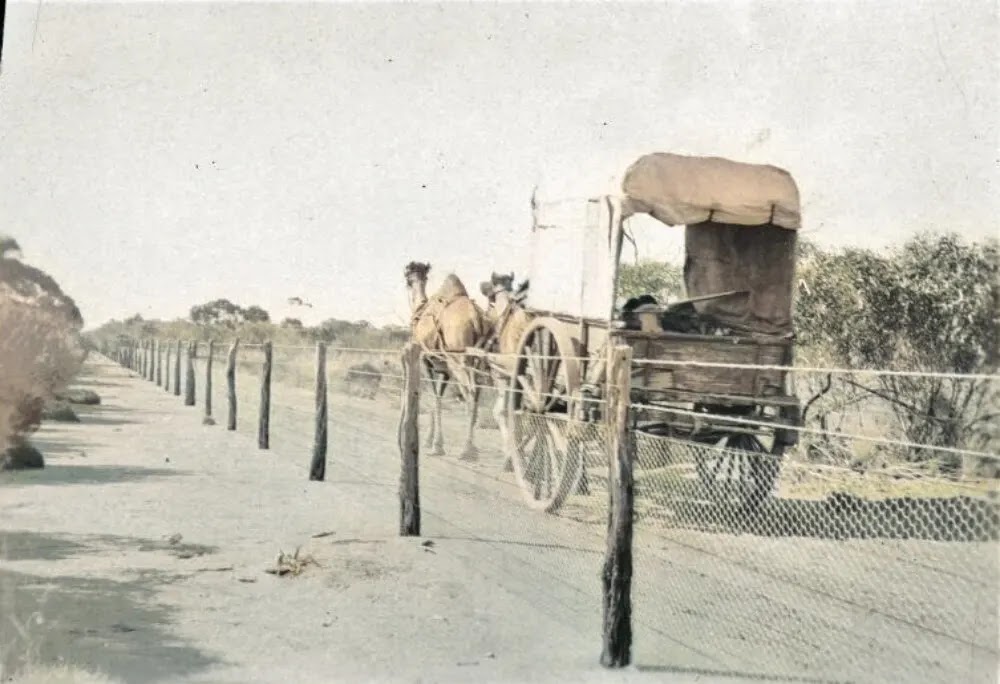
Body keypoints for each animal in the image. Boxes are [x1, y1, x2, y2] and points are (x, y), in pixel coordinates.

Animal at [402, 262, 488, 460]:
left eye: (408, 277)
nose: (408, 282)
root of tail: (477, 319)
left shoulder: (426, 361)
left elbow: (433, 397)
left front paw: (435, 445)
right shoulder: (443, 369)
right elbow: (438, 396)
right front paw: (432, 441)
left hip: (458, 359)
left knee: (470, 393)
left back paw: (468, 449)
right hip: (480, 361)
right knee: (479, 393)